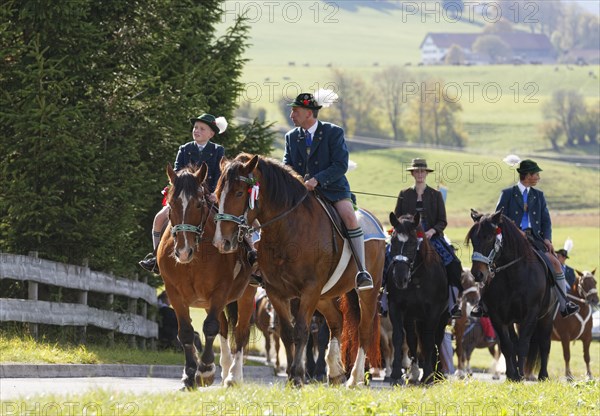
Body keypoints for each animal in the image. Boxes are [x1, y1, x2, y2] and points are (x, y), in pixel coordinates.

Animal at [156, 163, 256, 390]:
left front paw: (205, 371)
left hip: (246, 295)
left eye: (199, 204)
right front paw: (188, 375)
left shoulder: (220, 290)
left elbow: (209, 327)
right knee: (224, 329)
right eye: (172, 204)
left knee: (240, 332)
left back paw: (233, 376)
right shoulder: (174, 294)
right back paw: (225, 368)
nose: (183, 252)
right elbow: (186, 333)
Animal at [213, 154, 386, 386]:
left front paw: (296, 375)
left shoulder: (309, 290)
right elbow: (287, 333)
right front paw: (292, 375)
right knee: (336, 321)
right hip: (323, 296)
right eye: (217, 194)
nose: (222, 242)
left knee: (363, 330)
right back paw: (335, 372)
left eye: (240, 193)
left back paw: (354, 378)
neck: (288, 229)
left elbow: (302, 330)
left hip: (367, 292)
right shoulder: (277, 292)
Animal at [386, 213, 448, 386]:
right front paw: (395, 373)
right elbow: (399, 337)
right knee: (412, 339)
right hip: (412, 317)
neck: (416, 278)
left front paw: (428, 375)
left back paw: (437, 373)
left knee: (436, 339)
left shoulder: (433, 312)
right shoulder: (396, 307)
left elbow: (428, 340)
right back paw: (414, 373)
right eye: (393, 242)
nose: (400, 279)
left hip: (441, 317)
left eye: (413, 243)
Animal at [466, 210, 556, 382]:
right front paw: (512, 375)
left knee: (544, 343)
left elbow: (523, 345)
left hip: (546, 317)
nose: (478, 274)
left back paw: (543, 375)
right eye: (473, 239)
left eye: (489, 237)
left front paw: (520, 374)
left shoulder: (531, 314)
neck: (513, 275)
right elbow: (507, 345)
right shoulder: (497, 316)